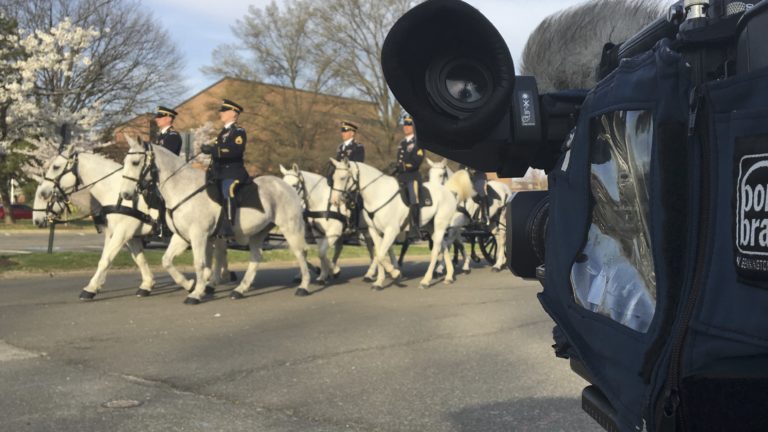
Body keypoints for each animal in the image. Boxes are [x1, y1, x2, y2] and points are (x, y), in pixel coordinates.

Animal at [32, 147, 231, 298]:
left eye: (56, 166)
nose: (36, 220)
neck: (115, 191)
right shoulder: (124, 234)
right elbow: (138, 259)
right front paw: (147, 284)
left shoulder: (123, 232)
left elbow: (106, 259)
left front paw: (90, 289)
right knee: (218, 251)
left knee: (218, 251)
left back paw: (214, 280)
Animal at [119, 136, 308, 304]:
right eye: (125, 161)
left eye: (135, 162)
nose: (125, 194)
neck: (182, 188)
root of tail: (287, 186)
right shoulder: (182, 237)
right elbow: (167, 260)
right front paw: (190, 285)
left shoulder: (199, 235)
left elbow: (200, 263)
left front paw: (196, 293)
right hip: (257, 233)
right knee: (256, 257)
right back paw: (239, 290)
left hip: (291, 228)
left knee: (301, 252)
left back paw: (304, 286)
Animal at [330, 159, 474, 290]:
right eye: (333, 177)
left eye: (343, 177)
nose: (335, 201)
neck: (378, 194)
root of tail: (449, 192)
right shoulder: (374, 231)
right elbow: (380, 253)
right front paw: (379, 281)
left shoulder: (391, 230)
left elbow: (381, 255)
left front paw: (394, 273)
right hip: (431, 227)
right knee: (444, 246)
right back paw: (449, 275)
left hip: (440, 225)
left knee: (437, 249)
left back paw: (426, 280)